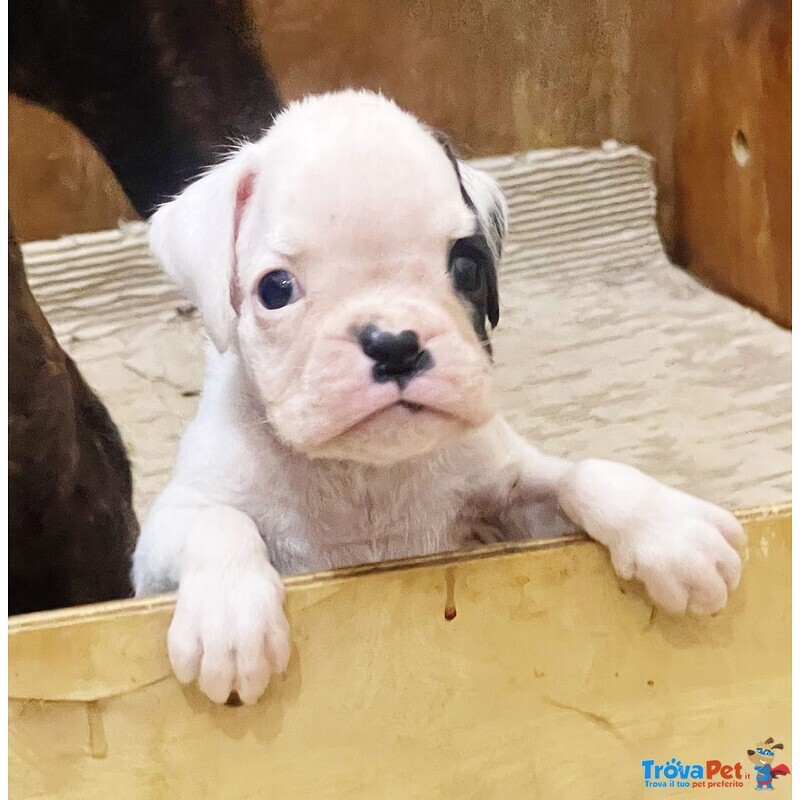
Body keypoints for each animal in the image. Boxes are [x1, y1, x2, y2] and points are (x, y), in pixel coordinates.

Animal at [133, 90, 744, 708]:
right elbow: (218, 522)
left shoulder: (512, 508)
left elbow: (581, 475)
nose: (395, 344)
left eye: (467, 266)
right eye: (275, 290)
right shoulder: (159, 545)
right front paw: (229, 621)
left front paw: (669, 529)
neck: (364, 476)